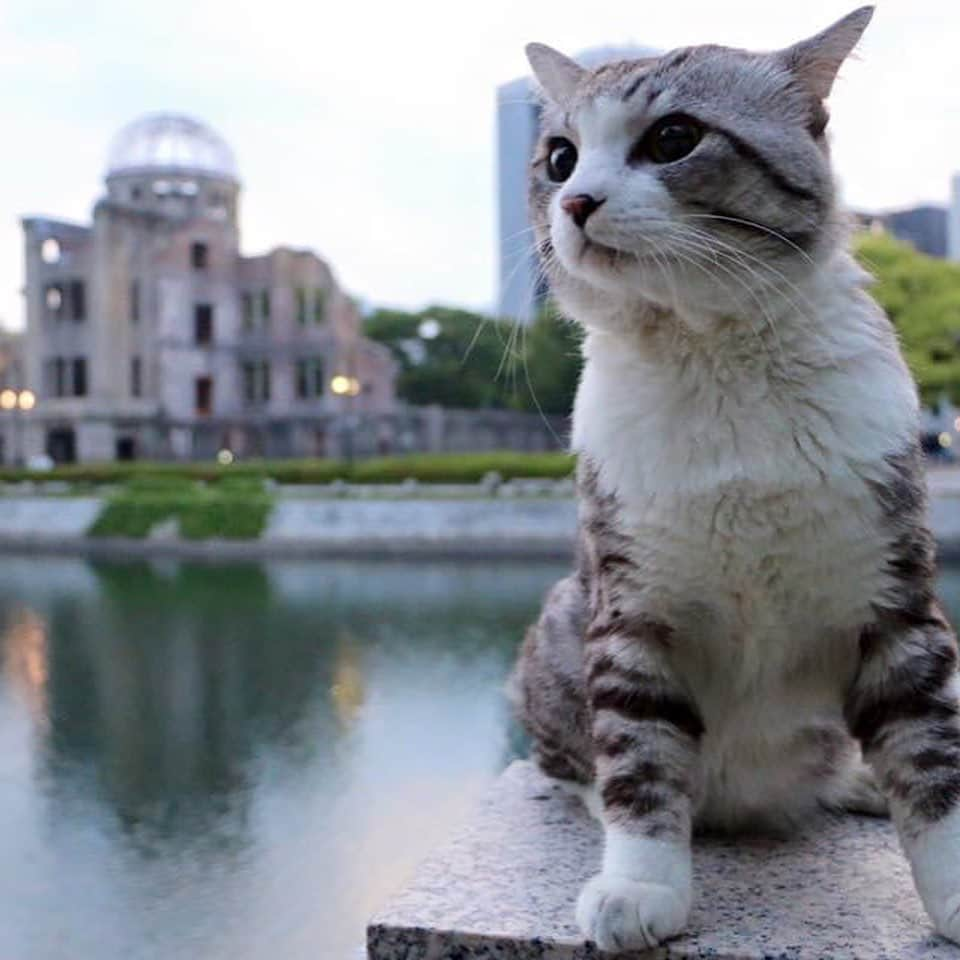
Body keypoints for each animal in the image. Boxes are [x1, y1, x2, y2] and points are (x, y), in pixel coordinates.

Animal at [510, 7, 960, 952]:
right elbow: (640, 763)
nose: (575, 202)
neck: (710, 350)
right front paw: (640, 886)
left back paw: (856, 781)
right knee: (574, 764)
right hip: (558, 626)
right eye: (561, 157)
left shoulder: (898, 604)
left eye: (673, 138)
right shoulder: (631, 607)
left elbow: (931, 764)